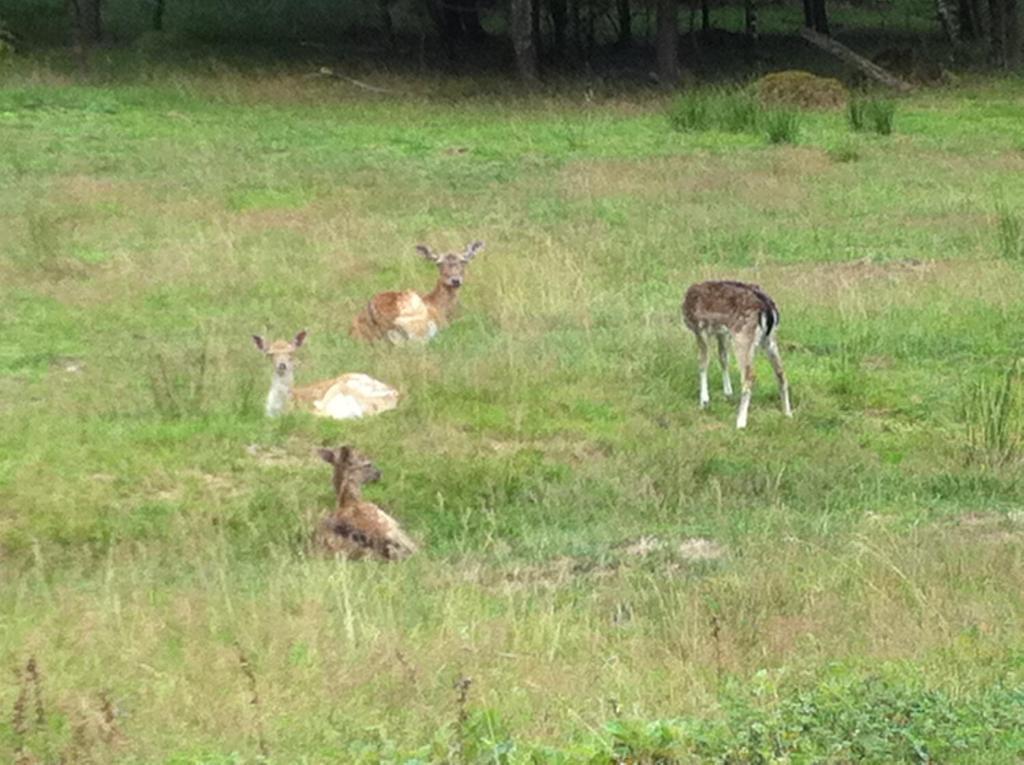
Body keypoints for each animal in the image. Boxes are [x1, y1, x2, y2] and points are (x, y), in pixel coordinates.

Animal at [684, 280, 794, 430]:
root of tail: (768, 308)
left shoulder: (700, 329)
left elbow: (703, 362)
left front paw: (704, 401)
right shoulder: (722, 333)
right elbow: (723, 358)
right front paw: (728, 393)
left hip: (742, 337)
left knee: (749, 375)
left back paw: (740, 422)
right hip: (770, 339)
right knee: (781, 372)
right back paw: (787, 413)